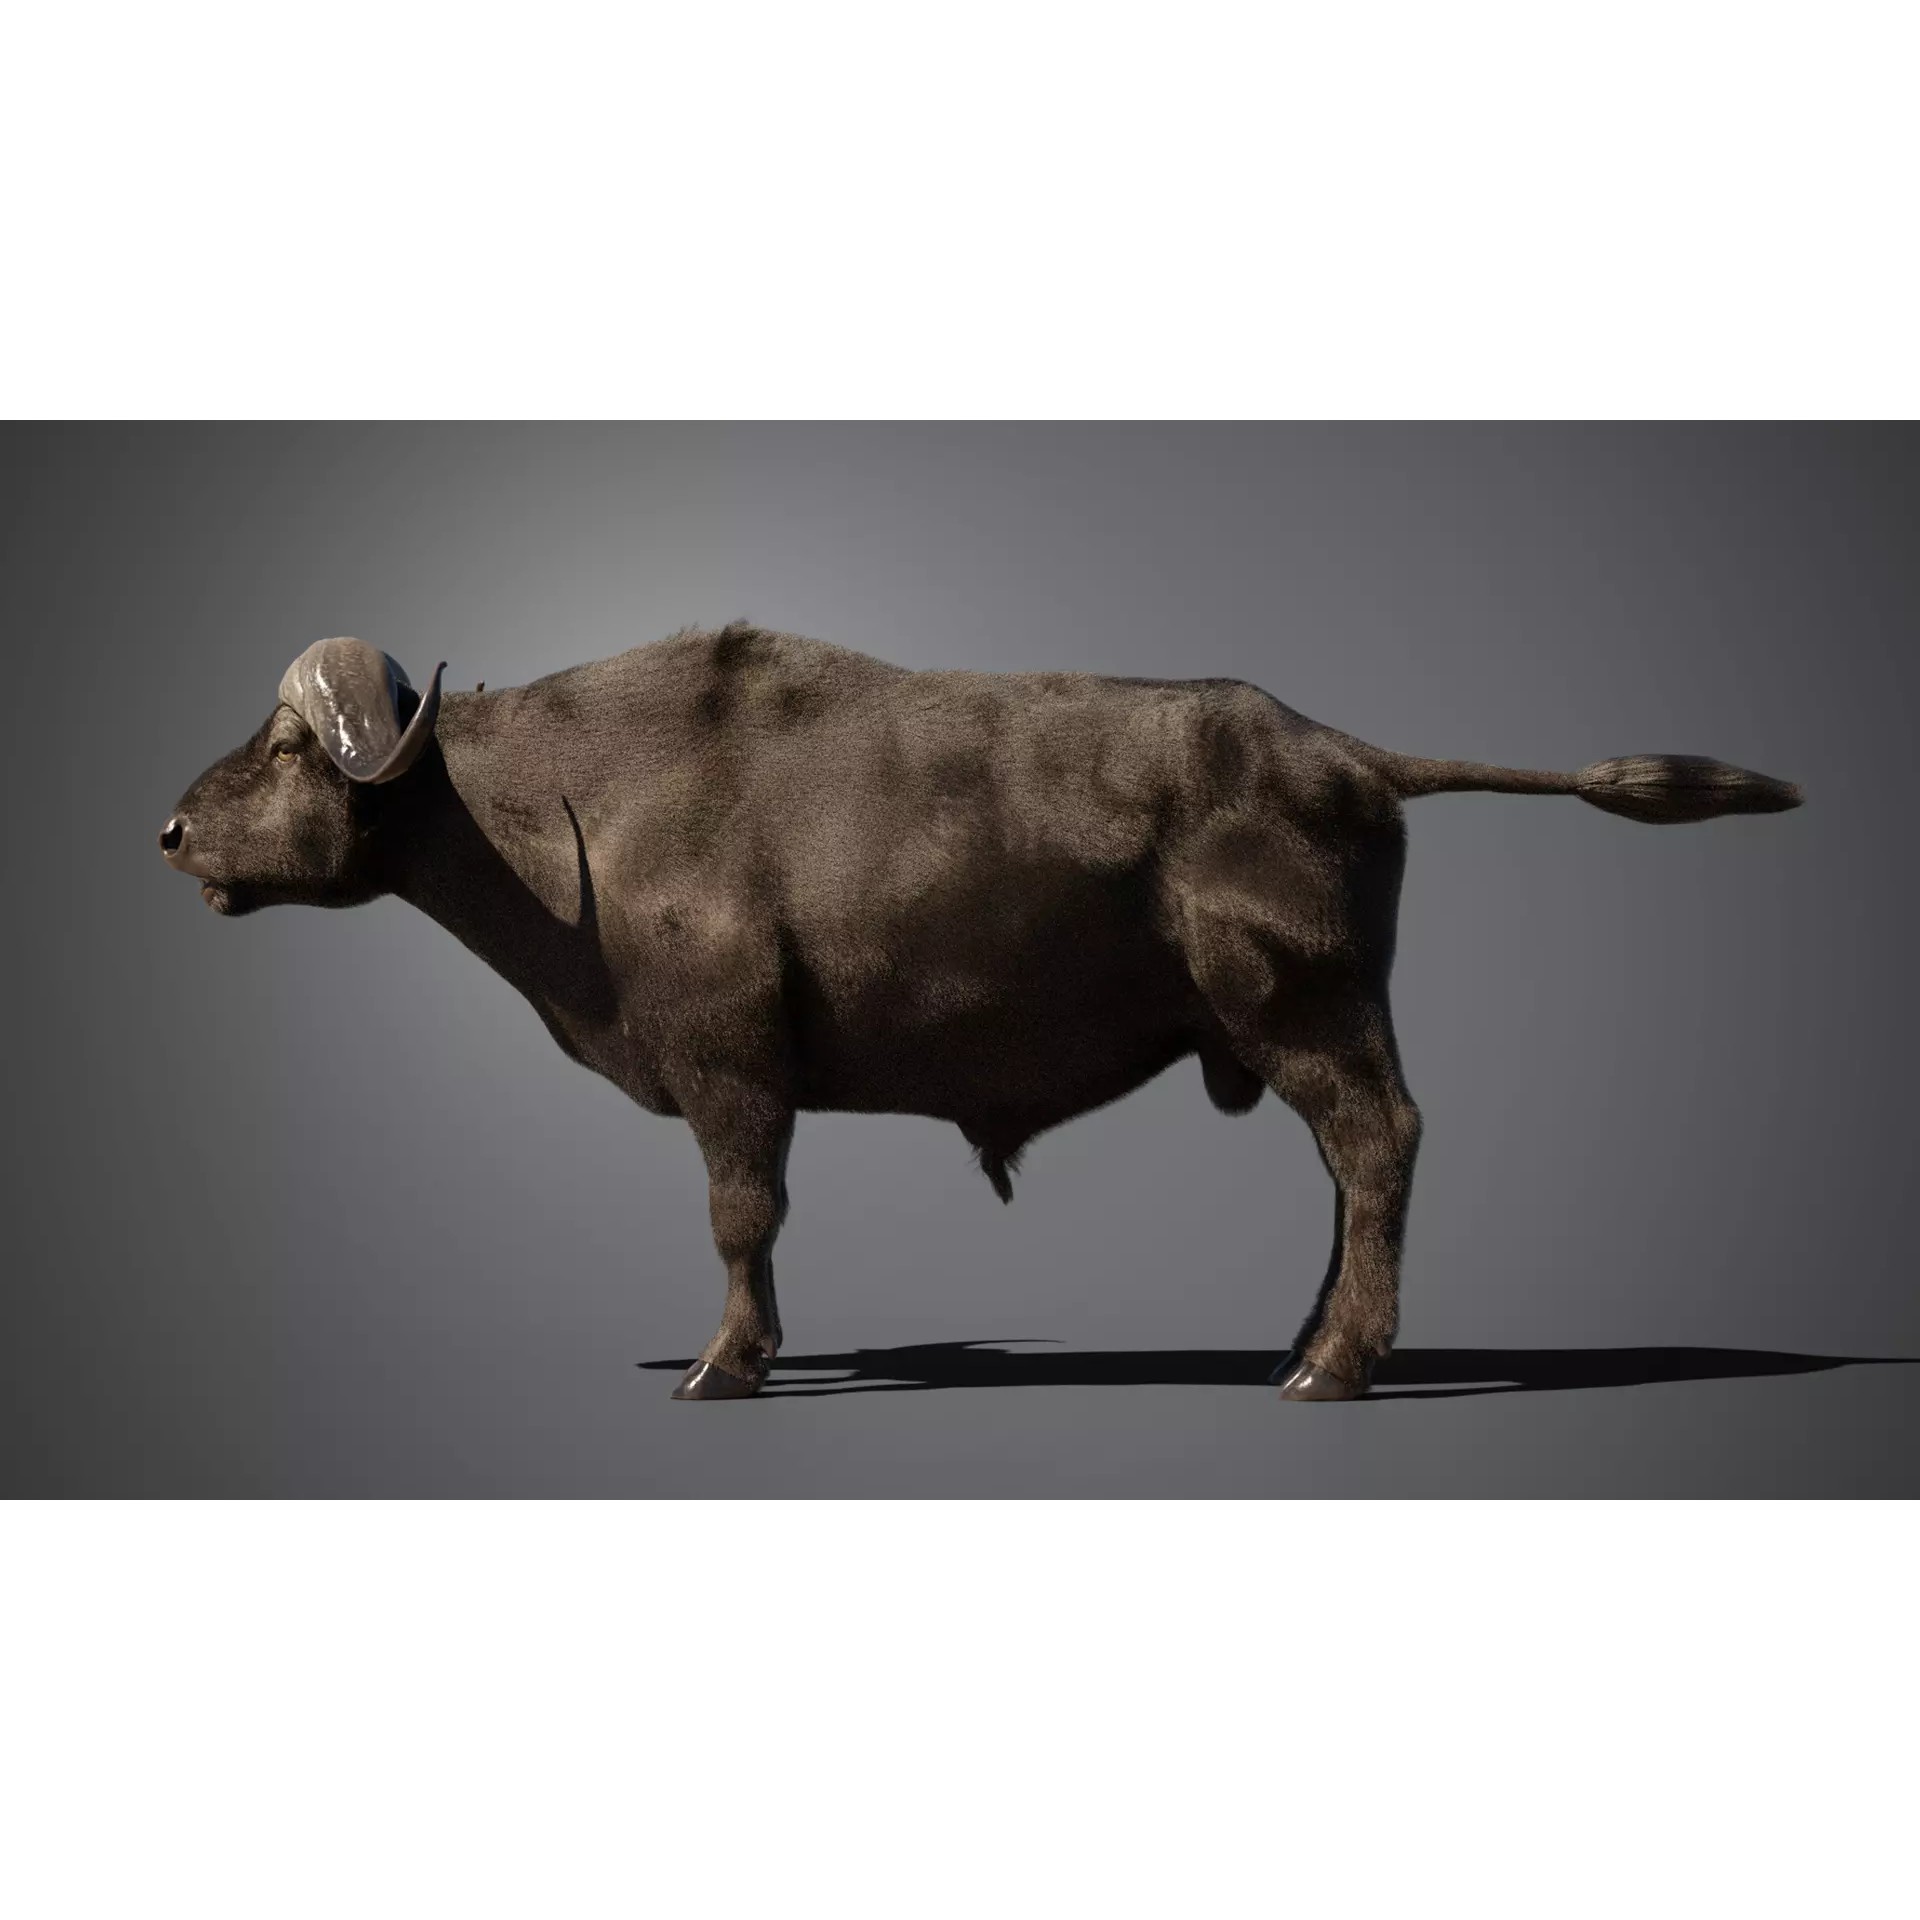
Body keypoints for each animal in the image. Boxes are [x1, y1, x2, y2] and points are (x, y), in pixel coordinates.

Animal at [161, 624, 1802, 1401]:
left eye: (288, 748)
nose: (169, 833)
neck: (566, 805)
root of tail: (1341, 749)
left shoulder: (734, 1083)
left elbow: (742, 1221)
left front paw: (723, 1367)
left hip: (1310, 1020)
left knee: (1378, 1146)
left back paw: (1332, 1370)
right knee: (1353, 1171)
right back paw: (1305, 1341)